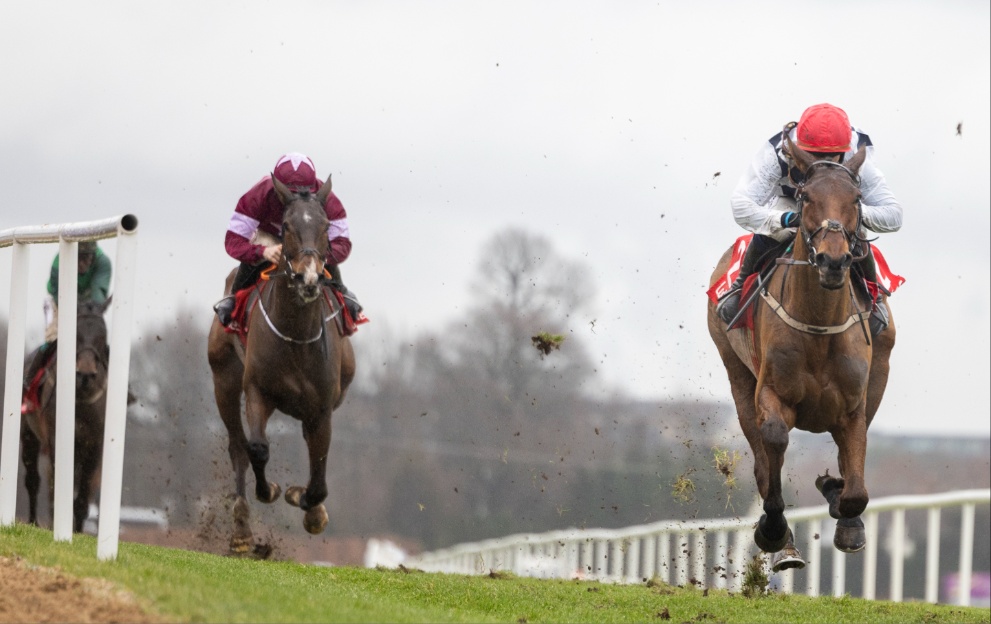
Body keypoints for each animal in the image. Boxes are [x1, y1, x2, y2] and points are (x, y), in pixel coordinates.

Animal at [21, 298, 112, 532]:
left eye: (102, 336)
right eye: (76, 335)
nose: (85, 374)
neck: (80, 400)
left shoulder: (94, 446)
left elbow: (83, 496)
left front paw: (78, 532)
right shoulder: (55, 440)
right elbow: (57, 485)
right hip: (28, 434)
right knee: (33, 481)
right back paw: (33, 521)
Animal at [205, 173, 356, 552]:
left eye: (326, 225)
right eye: (286, 226)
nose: (309, 278)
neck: (296, 335)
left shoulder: (322, 407)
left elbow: (319, 476)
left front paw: (309, 507)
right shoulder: (257, 391)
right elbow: (256, 449)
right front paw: (271, 490)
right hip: (224, 382)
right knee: (237, 447)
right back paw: (242, 530)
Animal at [704, 136, 900, 572]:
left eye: (857, 198)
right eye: (806, 197)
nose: (833, 260)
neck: (818, 325)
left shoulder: (853, 405)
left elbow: (855, 488)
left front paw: (841, 507)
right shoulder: (771, 392)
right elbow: (773, 445)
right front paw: (775, 531)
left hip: (880, 370)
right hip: (736, 373)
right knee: (761, 457)